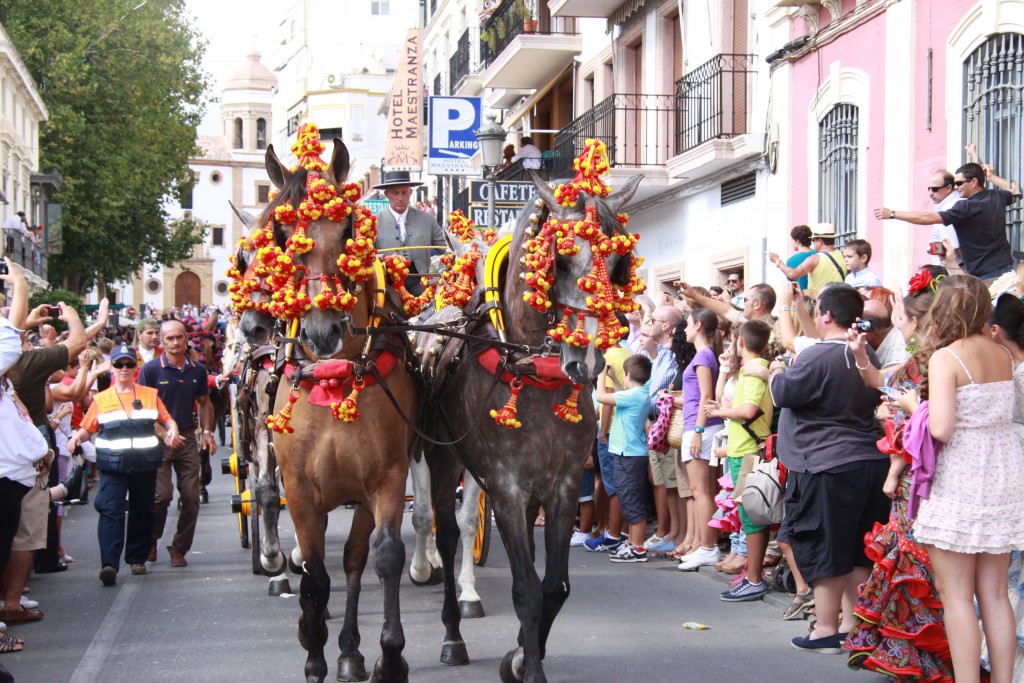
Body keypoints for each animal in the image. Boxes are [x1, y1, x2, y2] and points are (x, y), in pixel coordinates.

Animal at [264, 140, 415, 683]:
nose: (322, 328)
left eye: (349, 226)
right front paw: (313, 655)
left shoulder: (386, 478)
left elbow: (384, 557)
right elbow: (313, 577)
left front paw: (390, 656)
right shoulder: (298, 490)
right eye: (280, 232)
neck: (333, 375)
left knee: (353, 560)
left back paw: (351, 650)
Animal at [419, 172, 643, 683]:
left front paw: (522, 655)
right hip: (441, 458)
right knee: (445, 530)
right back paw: (451, 634)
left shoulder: (562, 488)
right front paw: (529, 665)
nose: (587, 360)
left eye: (617, 264)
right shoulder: (506, 488)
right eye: (559, 259)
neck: (531, 371)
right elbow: (525, 590)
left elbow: (553, 587)